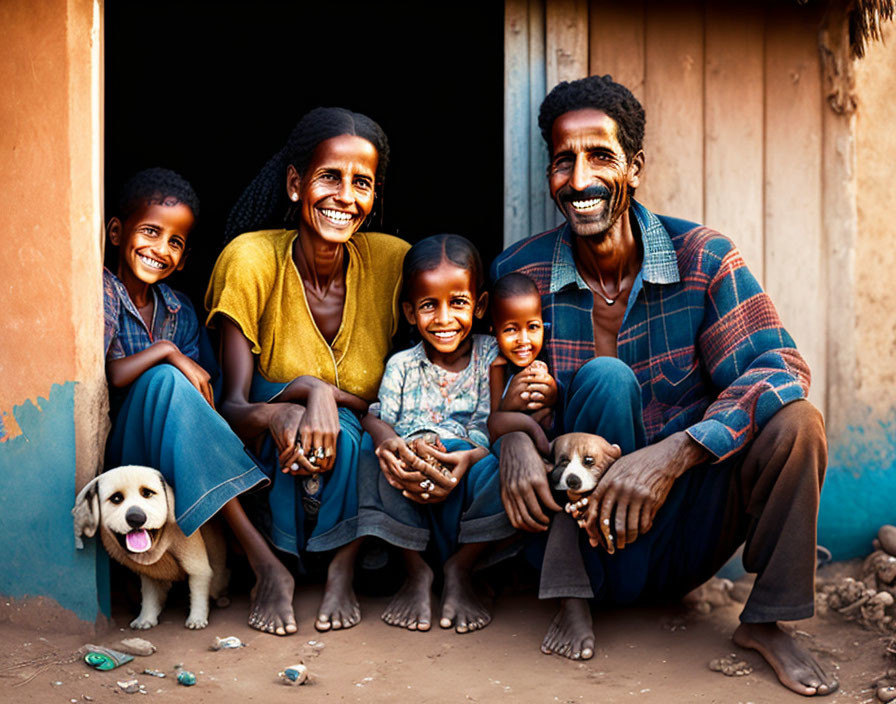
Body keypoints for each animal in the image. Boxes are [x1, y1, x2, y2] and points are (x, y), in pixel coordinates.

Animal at [72, 464, 229, 628]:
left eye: (147, 493)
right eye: (116, 498)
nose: (136, 517)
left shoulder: (197, 563)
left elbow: (198, 589)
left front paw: (197, 618)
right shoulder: (150, 575)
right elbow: (149, 596)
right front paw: (145, 619)